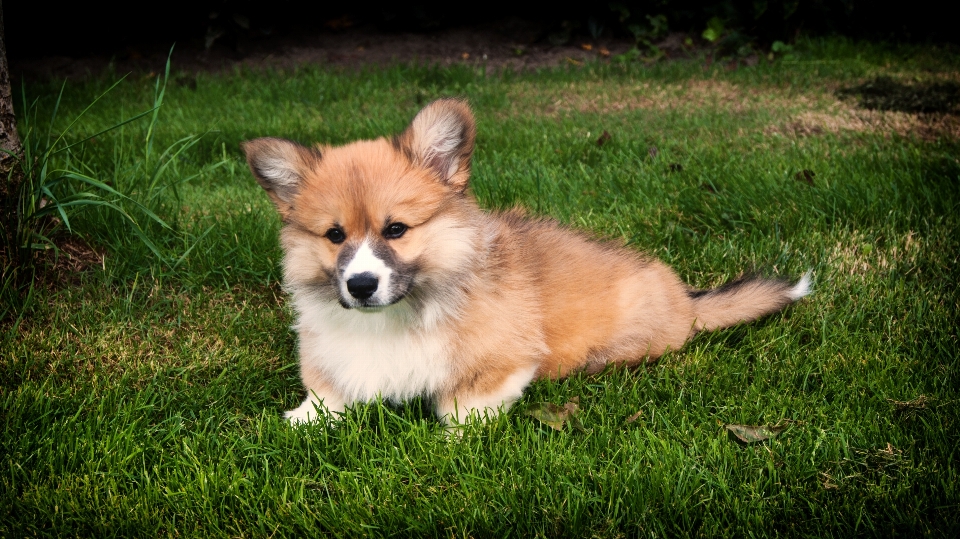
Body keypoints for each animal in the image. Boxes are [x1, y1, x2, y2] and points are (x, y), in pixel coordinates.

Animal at [242, 99, 808, 424]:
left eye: (396, 229)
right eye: (334, 235)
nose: (360, 285)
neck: (401, 313)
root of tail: (688, 300)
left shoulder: (504, 361)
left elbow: (465, 405)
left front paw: (452, 440)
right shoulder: (329, 351)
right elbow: (326, 389)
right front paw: (305, 418)